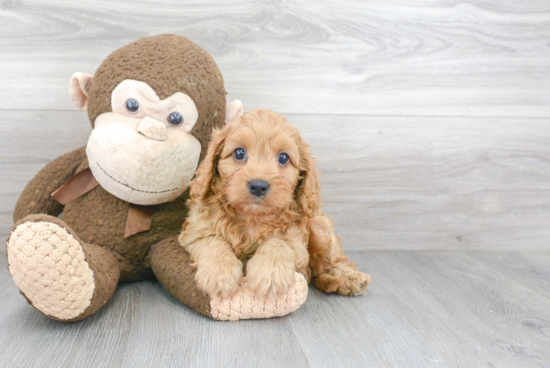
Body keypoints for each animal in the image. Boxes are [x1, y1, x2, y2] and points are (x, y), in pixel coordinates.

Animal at [179, 109, 374, 300]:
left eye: (283, 158)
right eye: (239, 153)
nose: (258, 186)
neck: (252, 218)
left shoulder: (297, 242)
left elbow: (278, 243)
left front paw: (270, 273)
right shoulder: (196, 231)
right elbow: (213, 242)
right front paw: (219, 273)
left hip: (319, 227)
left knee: (332, 258)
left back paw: (347, 277)